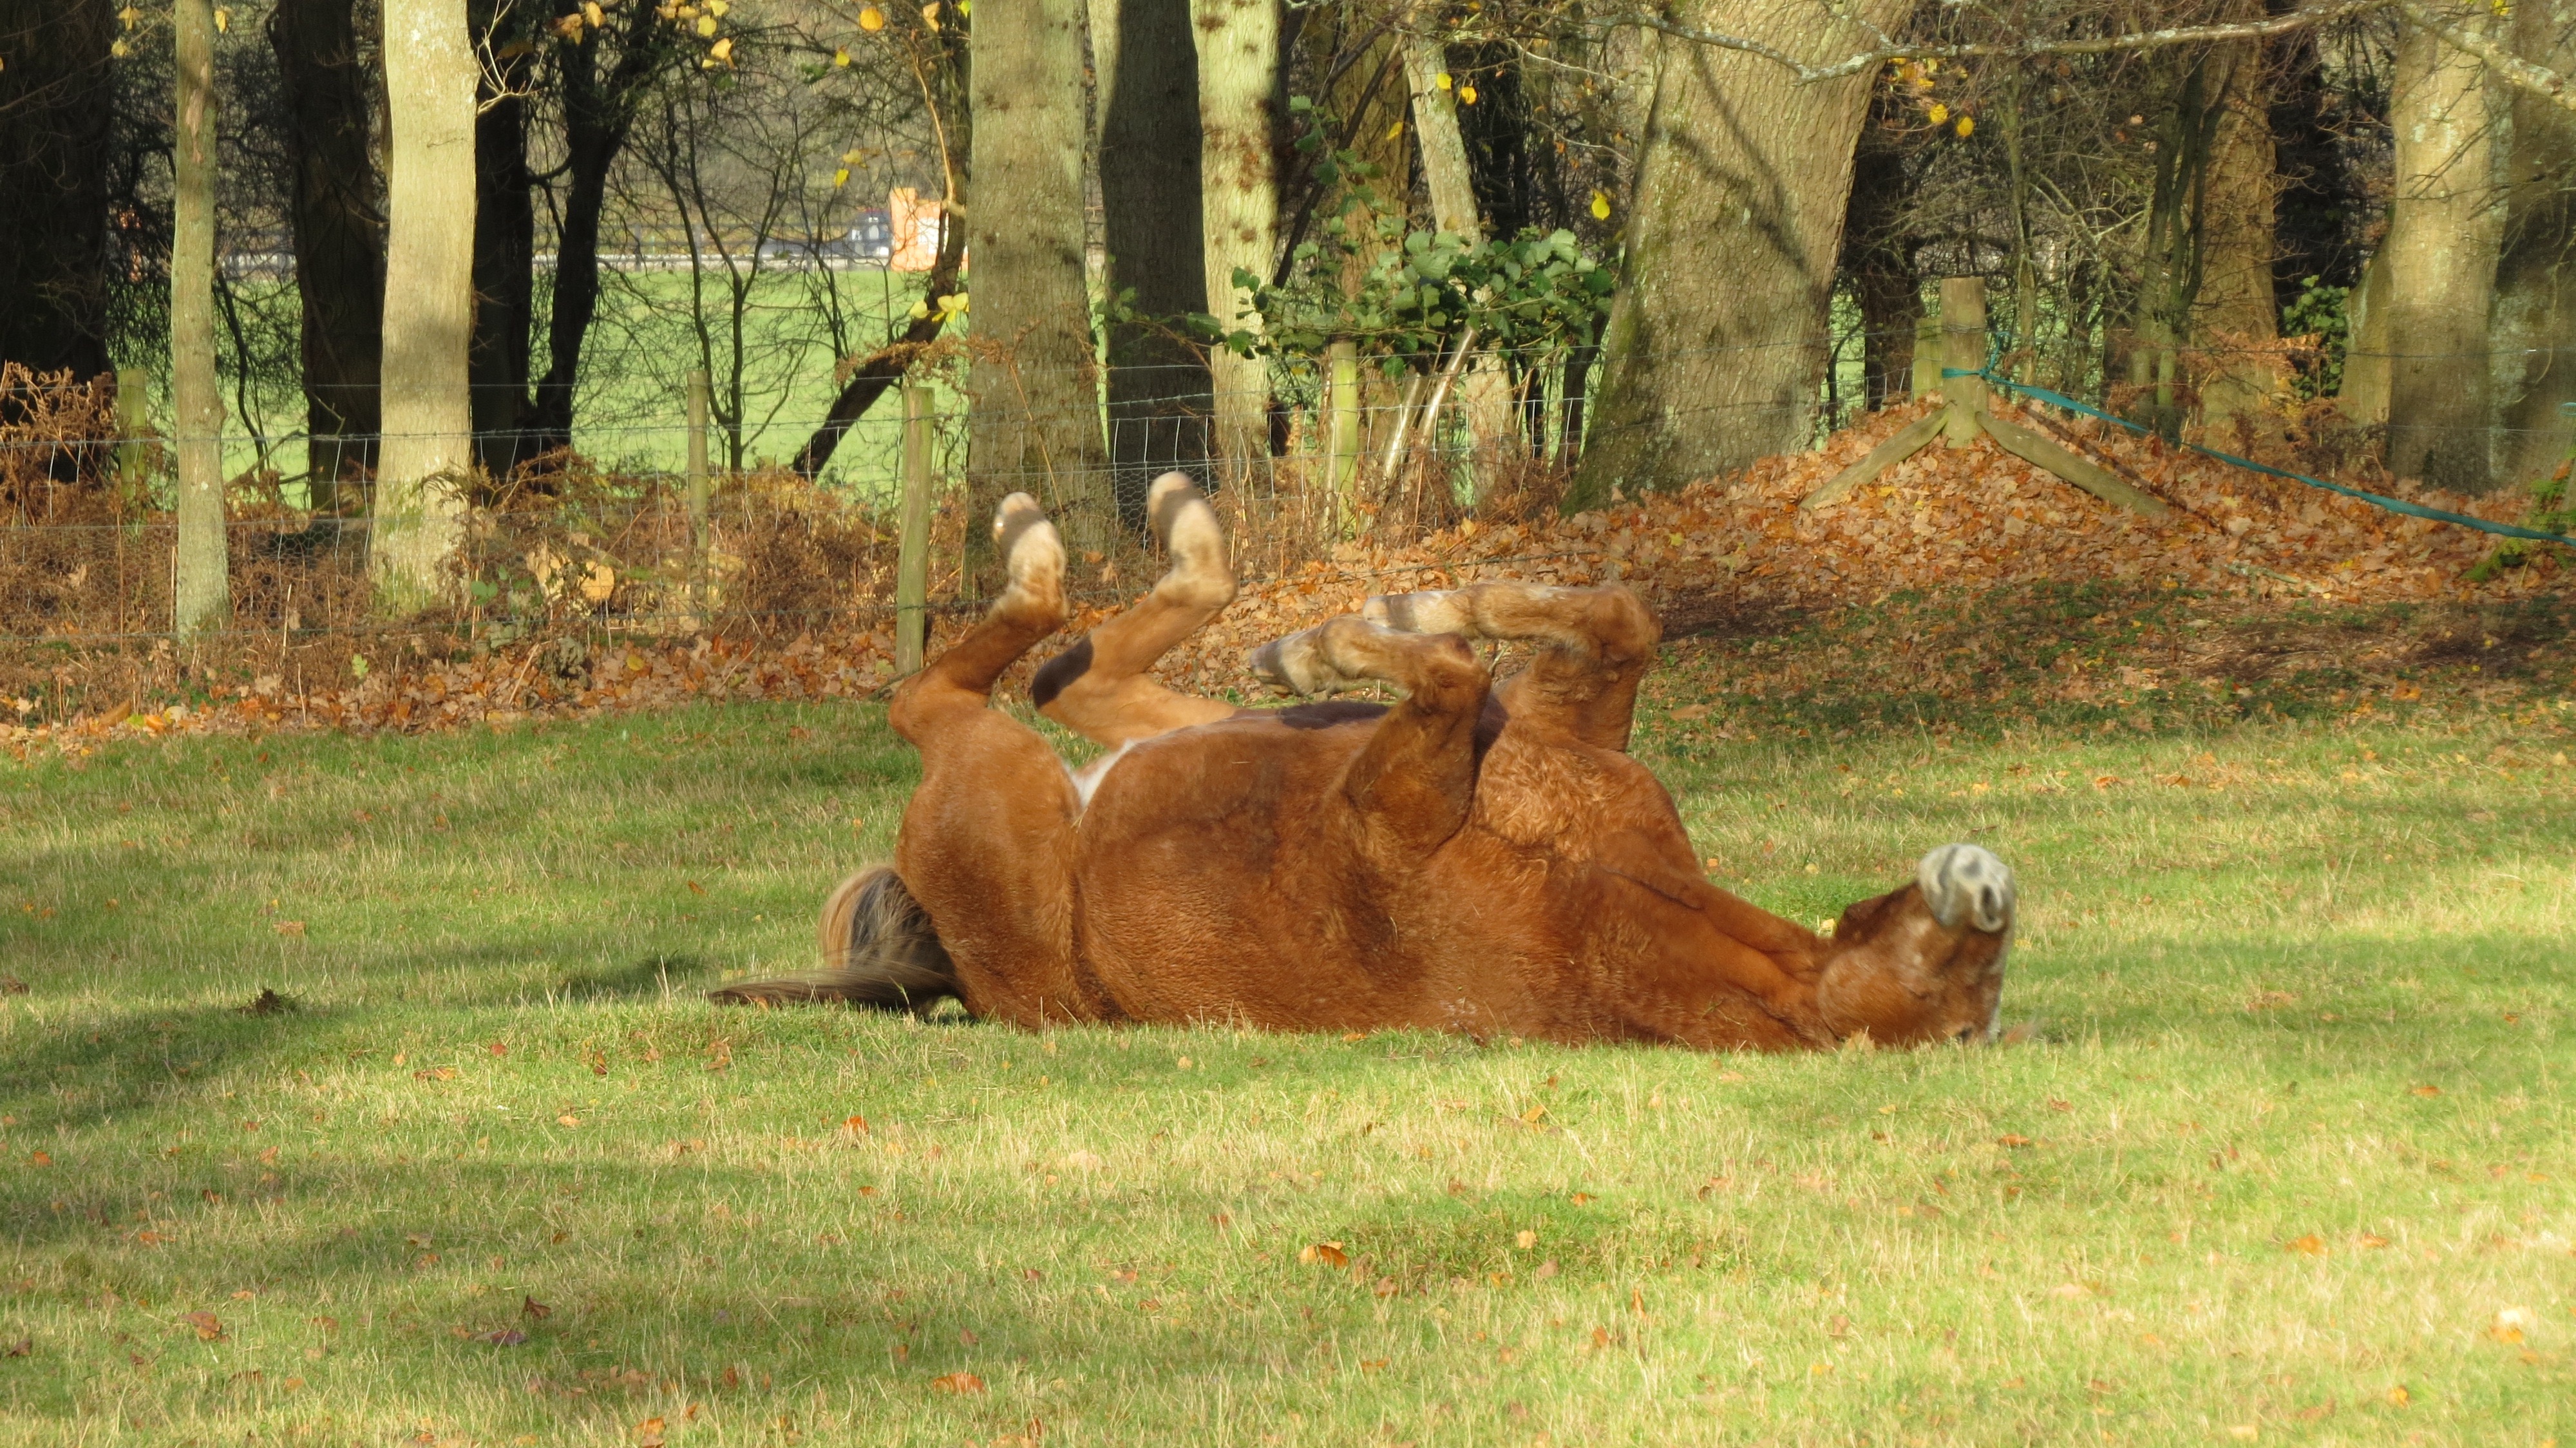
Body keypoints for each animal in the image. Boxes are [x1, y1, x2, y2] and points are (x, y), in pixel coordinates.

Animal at [713, 476, 2016, 1050]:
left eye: (1962, 1000)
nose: (1988, 887)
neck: (1590, 892)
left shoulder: (1395, 788)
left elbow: (1454, 674)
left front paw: (1343, 634)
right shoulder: (1562, 722)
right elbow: (1607, 615)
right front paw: (1401, 604)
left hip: (996, 781)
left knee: (952, 683)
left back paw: (1068, 539)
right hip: (1165, 730)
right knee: (1079, 674)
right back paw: (1200, 545)